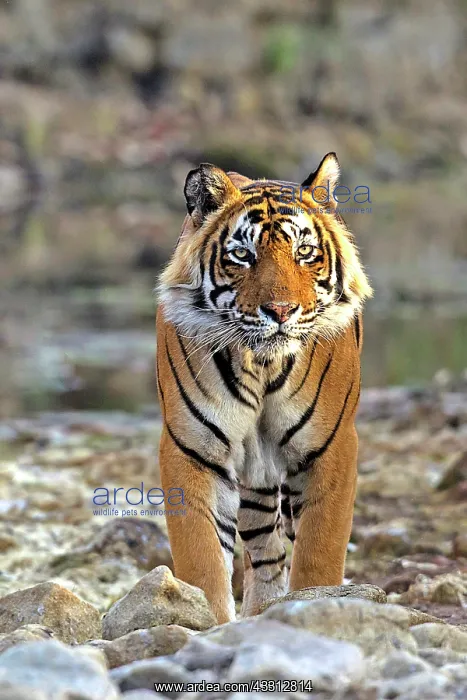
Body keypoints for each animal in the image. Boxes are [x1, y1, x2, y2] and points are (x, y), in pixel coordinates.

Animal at [156, 153, 372, 624]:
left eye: (304, 252)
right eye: (242, 254)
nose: (281, 310)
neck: (263, 365)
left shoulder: (332, 448)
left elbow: (319, 552)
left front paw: (316, 605)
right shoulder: (191, 449)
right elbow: (202, 557)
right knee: (265, 550)